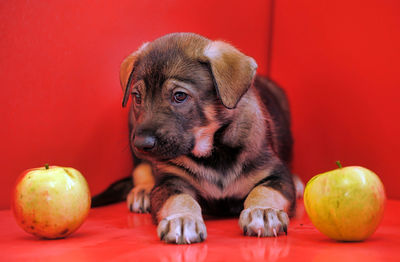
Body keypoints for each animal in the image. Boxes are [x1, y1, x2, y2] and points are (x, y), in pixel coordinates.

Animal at [95, 32, 304, 244]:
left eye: (179, 96)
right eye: (137, 97)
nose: (140, 144)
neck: (213, 154)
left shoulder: (276, 174)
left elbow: (264, 190)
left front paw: (263, 211)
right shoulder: (171, 181)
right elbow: (179, 199)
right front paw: (181, 219)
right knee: (141, 168)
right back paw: (143, 190)